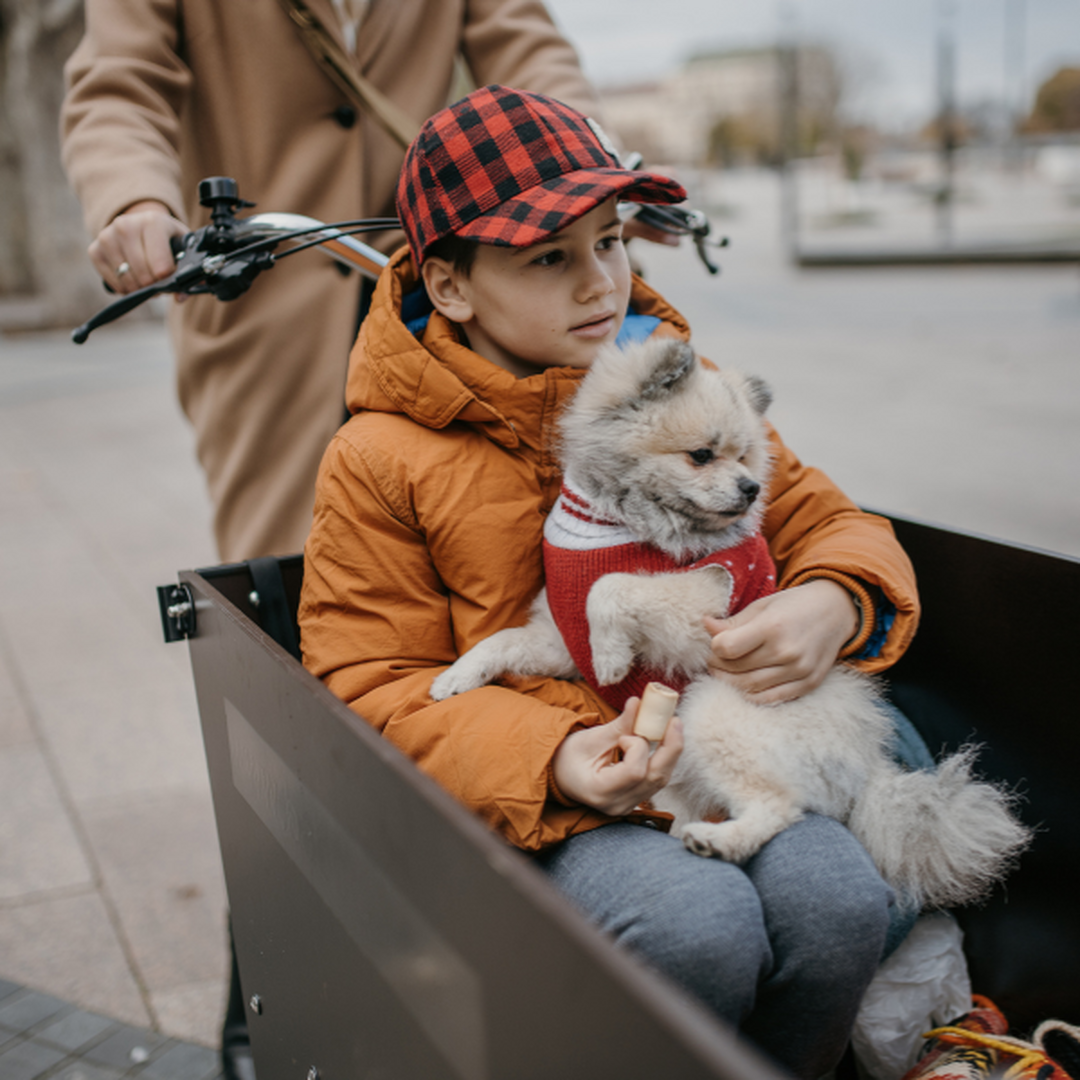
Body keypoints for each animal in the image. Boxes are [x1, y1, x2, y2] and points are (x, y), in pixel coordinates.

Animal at [429, 336, 1028, 911]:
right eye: (702, 456)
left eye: (745, 457)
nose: (751, 488)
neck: (618, 520)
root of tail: (869, 766)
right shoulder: (558, 638)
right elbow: (503, 640)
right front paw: (456, 677)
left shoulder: (707, 599)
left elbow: (612, 587)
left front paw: (612, 656)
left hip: (716, 711)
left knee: (780, 806)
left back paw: (720, 842)